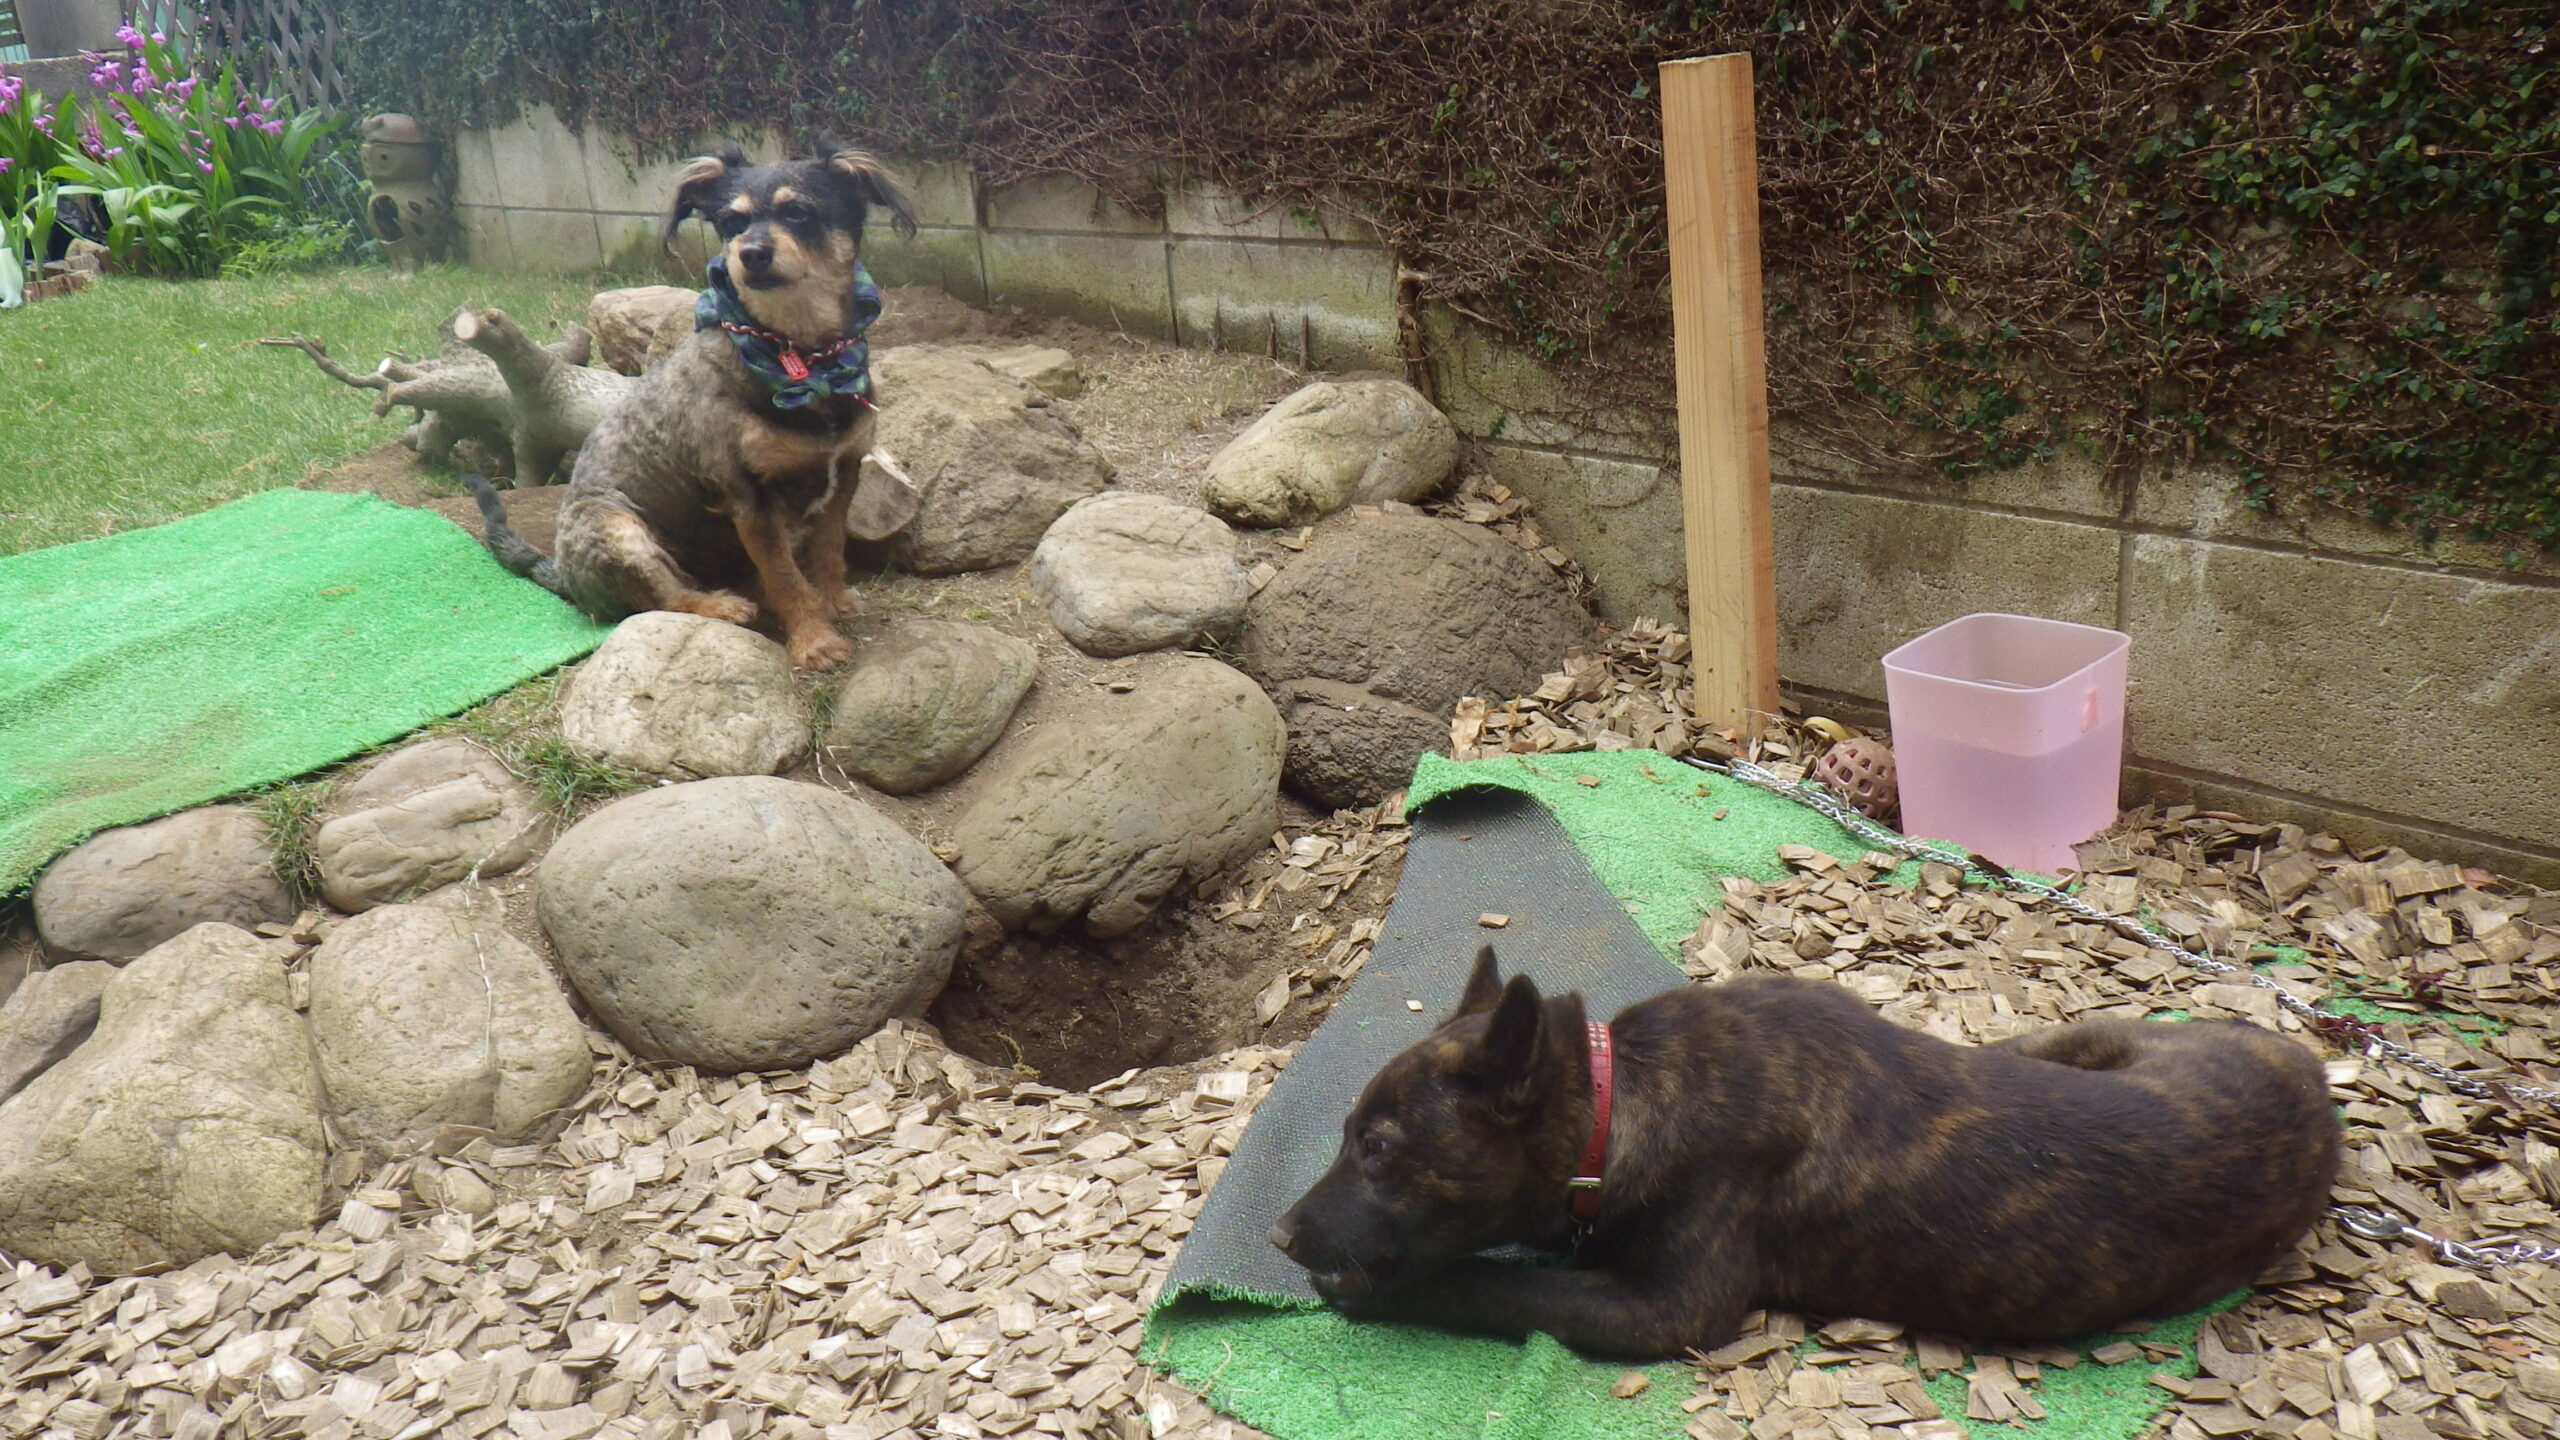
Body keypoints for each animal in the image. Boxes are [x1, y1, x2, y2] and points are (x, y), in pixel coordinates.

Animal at [470, 142, 916, 669]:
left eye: (798, 212)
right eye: (730, 221)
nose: (751, 253)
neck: (803, 359)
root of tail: (564, 574)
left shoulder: (842, 475)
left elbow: (829, 554)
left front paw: (832, 603)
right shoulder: (751, 501)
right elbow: (786, 578)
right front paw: (814, 641)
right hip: (616, 525)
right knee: (664, 598)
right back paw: (721, 604)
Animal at [1272, 946, 2341, 1360]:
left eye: (1379, 1148)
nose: (1279, 1236)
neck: (1625, 1097)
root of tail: (2314, 1072)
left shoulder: (1674, 1311)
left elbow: (1501, 1284)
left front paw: (1388, 1292)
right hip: (2084, 1035)